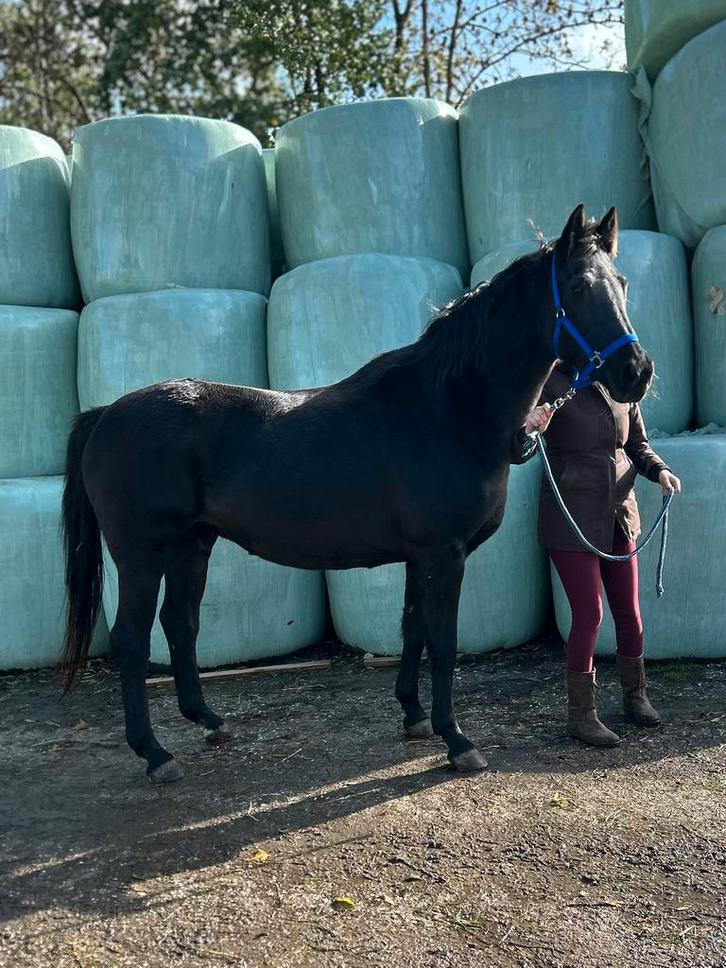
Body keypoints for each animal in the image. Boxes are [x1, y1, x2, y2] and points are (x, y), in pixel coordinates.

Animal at [60, 204, 653, 783]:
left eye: (623, 283)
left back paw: (210, 722)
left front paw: (415, 716)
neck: (449, 409)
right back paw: (155, 754)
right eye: (578, 285)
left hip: (192, 546)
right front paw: (457, 741)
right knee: (133, 638)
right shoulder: (445, 554)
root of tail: (105, 414)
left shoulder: (420, 556)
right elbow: (443, 640)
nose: (637, 372)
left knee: (180, 624)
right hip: (141, 555)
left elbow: (413, 628)